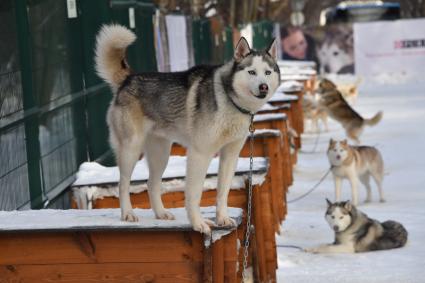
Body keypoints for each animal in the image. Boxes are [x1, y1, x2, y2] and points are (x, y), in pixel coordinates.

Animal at [94, 25, 280, 233]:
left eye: (268, 72)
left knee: (152, 184)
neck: (229, 100)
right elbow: (194, 194)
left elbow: (223, 192)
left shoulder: (230, 155)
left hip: (161, 154)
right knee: (123, 183)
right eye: (251, 72)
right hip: (130, 150)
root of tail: (128, 78)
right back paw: (127, 214)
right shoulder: (200, 154)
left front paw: (222, 219)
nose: (263, 87)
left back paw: (161, 213)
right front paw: (198, 224)